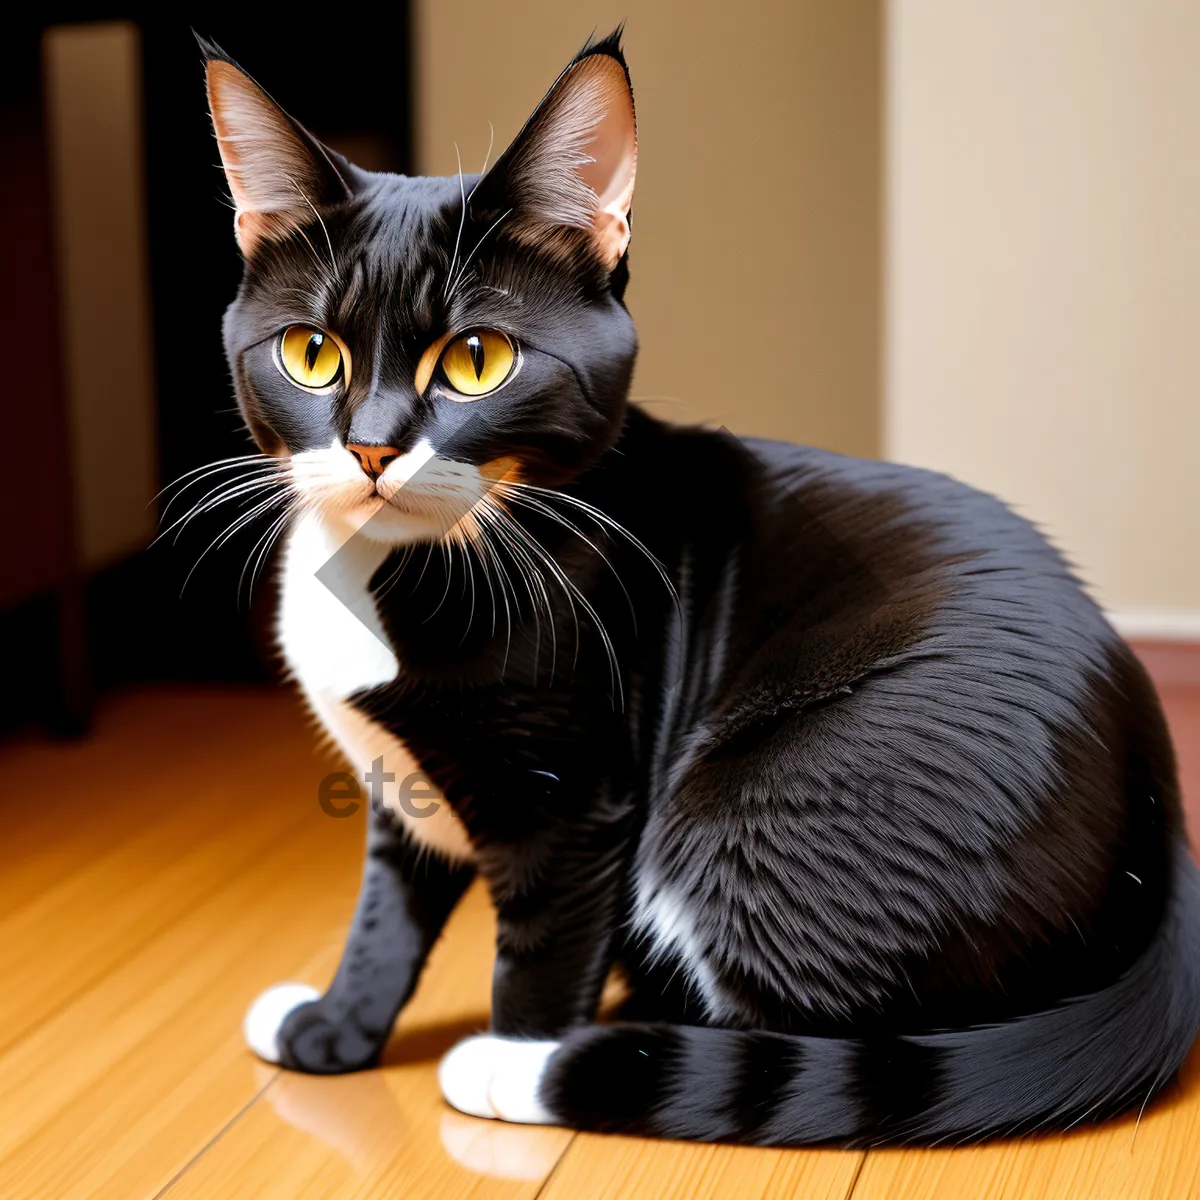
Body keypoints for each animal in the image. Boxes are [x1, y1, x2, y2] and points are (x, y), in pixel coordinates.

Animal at [199, 23, 1200, 1137]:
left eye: (477, 361)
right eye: (310, 352)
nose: (371, 448)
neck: (399, 567)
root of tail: (1161, 837)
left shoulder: (576, 795)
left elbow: (544, 941)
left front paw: (516, 1055)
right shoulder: (397, 785)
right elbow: (387, 911)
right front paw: (336, 1028)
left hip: (764, 803)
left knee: (827, 1039)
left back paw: (603, 1054)